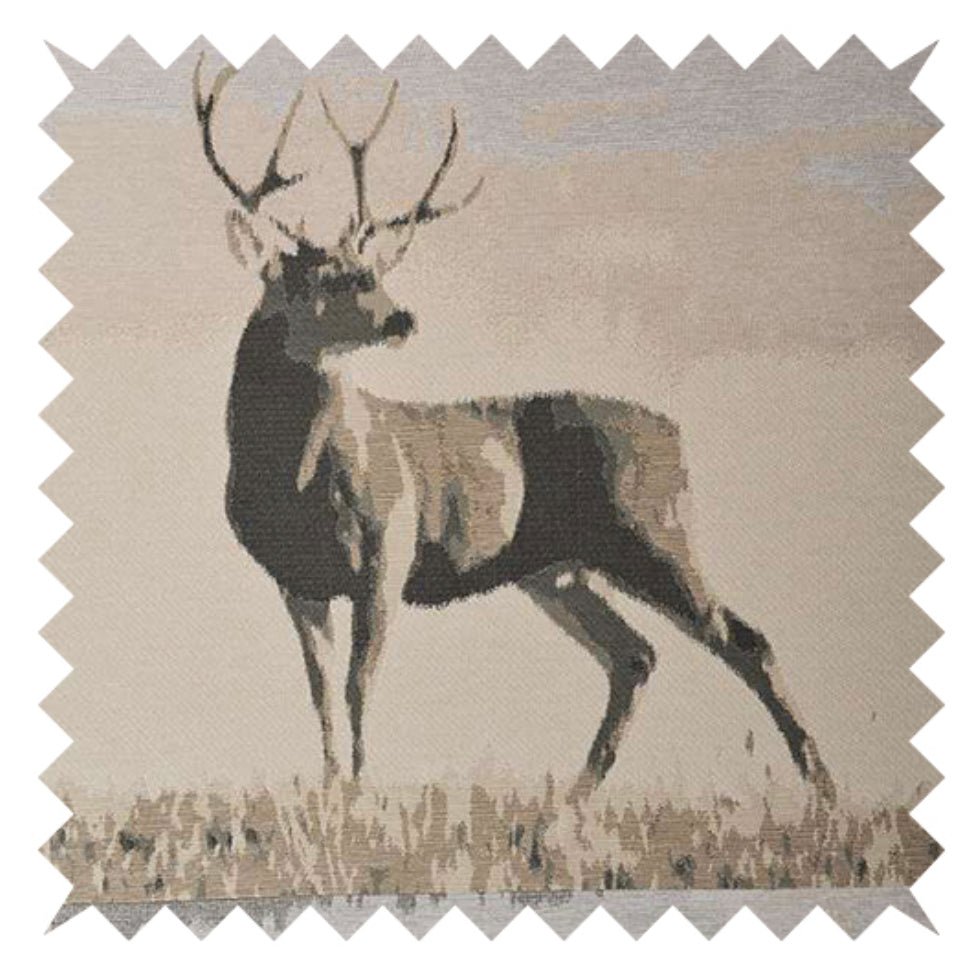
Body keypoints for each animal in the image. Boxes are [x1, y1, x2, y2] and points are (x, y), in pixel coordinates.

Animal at [192, 54, 835, 804]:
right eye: (323, 278)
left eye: (373, 270)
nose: (403, 317)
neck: (290, 479)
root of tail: (678, 434)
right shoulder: (297, 580)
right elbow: (321, 695)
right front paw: (331, 795)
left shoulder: (387, 551)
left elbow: (358, 686)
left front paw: (362, 796)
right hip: (557, 570)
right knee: (635, 656)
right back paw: (571, 802)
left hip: (654, 531)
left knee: (743, 638)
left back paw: (825, 791)